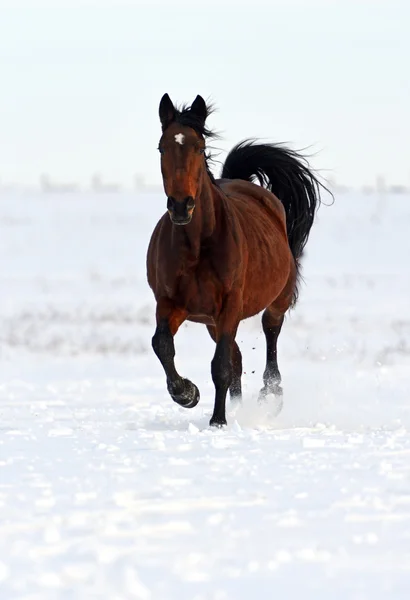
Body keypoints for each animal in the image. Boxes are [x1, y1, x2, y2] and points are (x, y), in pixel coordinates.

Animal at [146, 94, 328, 426]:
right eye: (162, 147)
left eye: (199, 147)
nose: (180, 205)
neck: (197, 247)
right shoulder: (169, 303)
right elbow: (162, 344)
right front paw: (187, 393)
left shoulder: (230, 304)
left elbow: (220, 366)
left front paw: (218, 421)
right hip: (211, 321)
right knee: (237, 358)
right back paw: (238, 407)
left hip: (276, 300)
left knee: (270, 335)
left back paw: (270, 395)